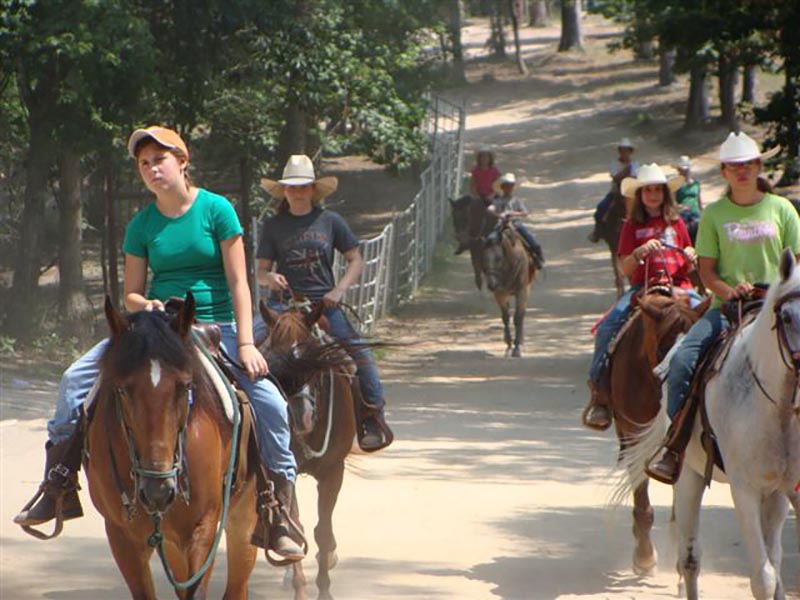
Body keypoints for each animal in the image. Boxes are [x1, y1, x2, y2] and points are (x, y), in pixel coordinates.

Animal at [84, 296, 260, 600]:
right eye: (122, 389)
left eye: (185, 385)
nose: (158, 492)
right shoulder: (121, 536)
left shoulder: (205, 526)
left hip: (244, 519)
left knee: (237, 587)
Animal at [258, 302, 358, 600]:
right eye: (273, 361)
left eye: (315, 361)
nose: (301, 417)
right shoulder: (281, 469)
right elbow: (295, 528)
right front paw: (299, 587)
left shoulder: (333, 471)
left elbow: (322, 532)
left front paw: (324, 589)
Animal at [482, 216, 536, 356]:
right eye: (483, 258)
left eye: (498, 258)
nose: (491, 284)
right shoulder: (500, 293)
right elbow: (505, 317)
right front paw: (508, 345)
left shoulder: (521, 291)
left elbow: (518, 317)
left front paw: (517, 348)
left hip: (526, 289)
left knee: (522, 314)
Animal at [620, 248, 800, 600]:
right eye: (786, 318)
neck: (780, 407)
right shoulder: (745, 489)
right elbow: (762, 579)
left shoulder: (788, 489)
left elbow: (773, 571)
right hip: (687, 475)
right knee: (689, 558)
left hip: (774, 495)